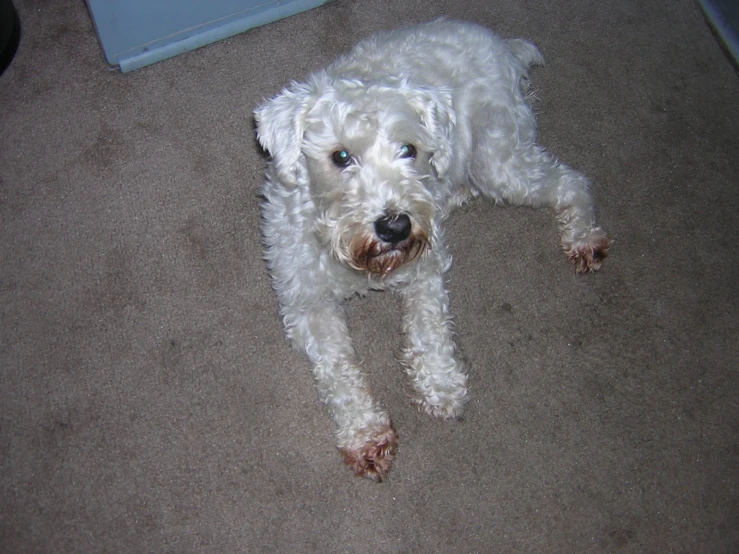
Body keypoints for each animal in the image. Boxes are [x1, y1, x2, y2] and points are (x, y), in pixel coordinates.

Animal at [258, 19, 608, 476]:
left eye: (409, 149)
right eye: (341, 156)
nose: (396, 226)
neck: (348, 251)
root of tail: (503, 45)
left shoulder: (425, 269)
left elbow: (429, 327)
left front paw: (441, 384)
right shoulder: (308, 304)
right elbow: (339, 370)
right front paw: (365, 433)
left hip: (499, 164)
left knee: (571, 181)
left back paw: (583, 238)